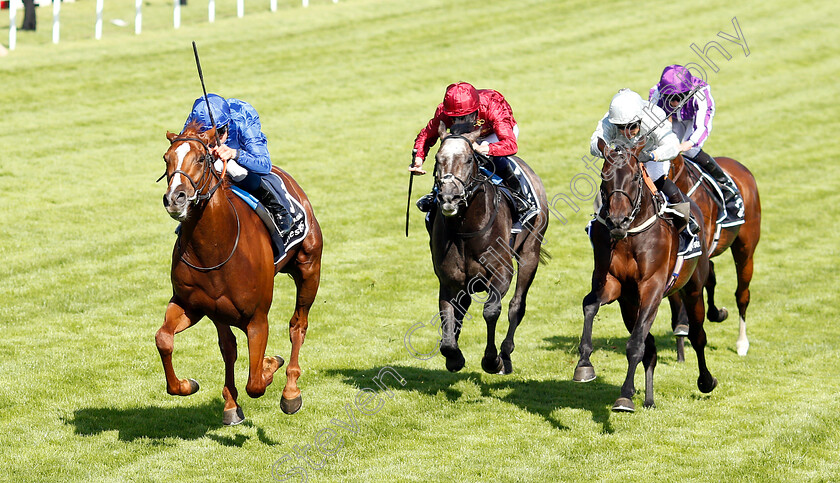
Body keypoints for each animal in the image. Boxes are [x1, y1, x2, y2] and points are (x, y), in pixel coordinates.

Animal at [158, 123, 322, 426]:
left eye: (202, 158)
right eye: (166, 159)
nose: (175, 198)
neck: (214, 248)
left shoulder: (257, 317)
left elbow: (255, 383)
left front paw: (269, 364)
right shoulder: (192, 306)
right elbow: (164, 339)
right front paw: (187, 385)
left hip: (309, 269)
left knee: (298, 325)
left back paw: (291, 392)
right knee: (228, 346)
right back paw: (231, 403)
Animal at [426, 125, 552, 374]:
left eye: (467, 159)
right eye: (437, 159)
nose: (449, 198)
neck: (465, 230)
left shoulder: (502, 272)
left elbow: (491, 311)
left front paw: (492, 360)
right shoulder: (449, 279)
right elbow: (448, 314)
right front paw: (453, 356)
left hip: (531, 251)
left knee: (517, 305)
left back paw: (506, 354)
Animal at [576, 139, 720, 412]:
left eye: (634, 176)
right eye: (604, 176)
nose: (617, 221)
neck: (630, 235)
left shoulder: (652, 286)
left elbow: (635, 344)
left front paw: (624, 396)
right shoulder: (613, 284)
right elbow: (589, 305)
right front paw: (584, 364)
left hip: (692, 288)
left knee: (697, 335)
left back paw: (706, 381)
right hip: (630, 306)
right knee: (650, 347)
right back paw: (649, 398)